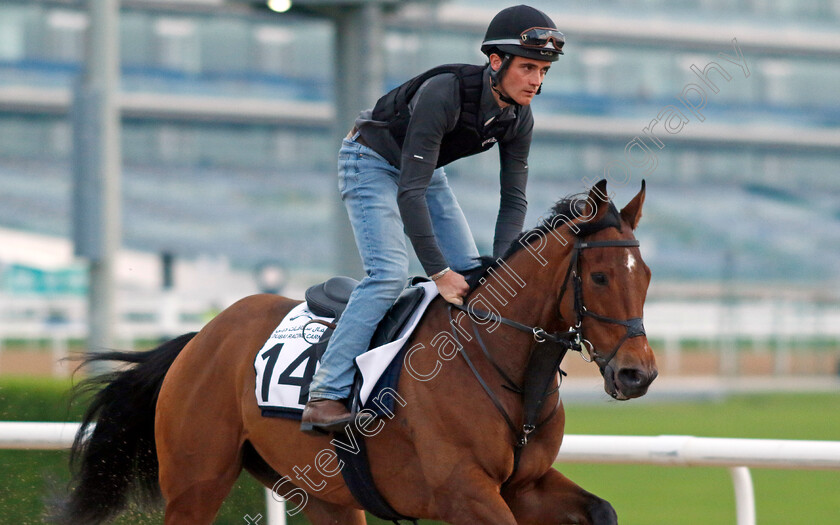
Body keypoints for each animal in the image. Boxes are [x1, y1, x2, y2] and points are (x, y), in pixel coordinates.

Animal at [52, 178, 656, 520]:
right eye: (600, 276)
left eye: (646, 274)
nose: (638, 375)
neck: (502, 361)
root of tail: (200, 338)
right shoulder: (465, 492)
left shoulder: (523, 485)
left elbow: (602, 510)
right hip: (195, 482)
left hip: (321, 491)